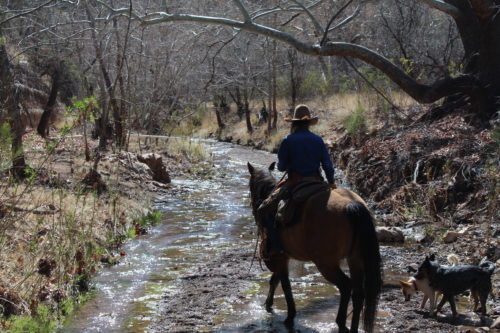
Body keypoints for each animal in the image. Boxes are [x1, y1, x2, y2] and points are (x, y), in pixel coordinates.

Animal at [247, 161, 382, 332]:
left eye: (251, 186)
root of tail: (352, 205)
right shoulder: (284, 257)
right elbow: (275, 280)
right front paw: (269, 303)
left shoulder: (279, 257)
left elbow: (284, 284)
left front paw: (289, 315)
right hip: (355, 259)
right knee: (358, 294)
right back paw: (352, 327)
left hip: (326, 264)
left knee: (346, 286)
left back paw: (341, 322)